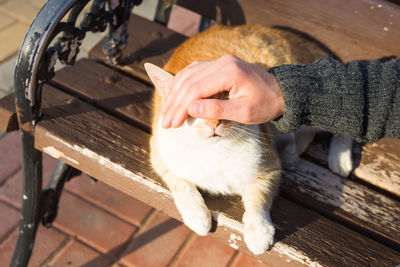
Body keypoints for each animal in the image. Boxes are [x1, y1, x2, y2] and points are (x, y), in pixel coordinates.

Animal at [145, 23, 354, 255]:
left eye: (228, 98)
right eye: (191, 108)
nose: (214, 123)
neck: (213, 153)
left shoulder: (269, 168)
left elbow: (258, 199)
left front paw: (259, 233)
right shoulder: (159, 153)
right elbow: (181, 183)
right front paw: (197, 216)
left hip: (314, 103)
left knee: (343, 119)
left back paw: (339, 159)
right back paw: (292, 152)